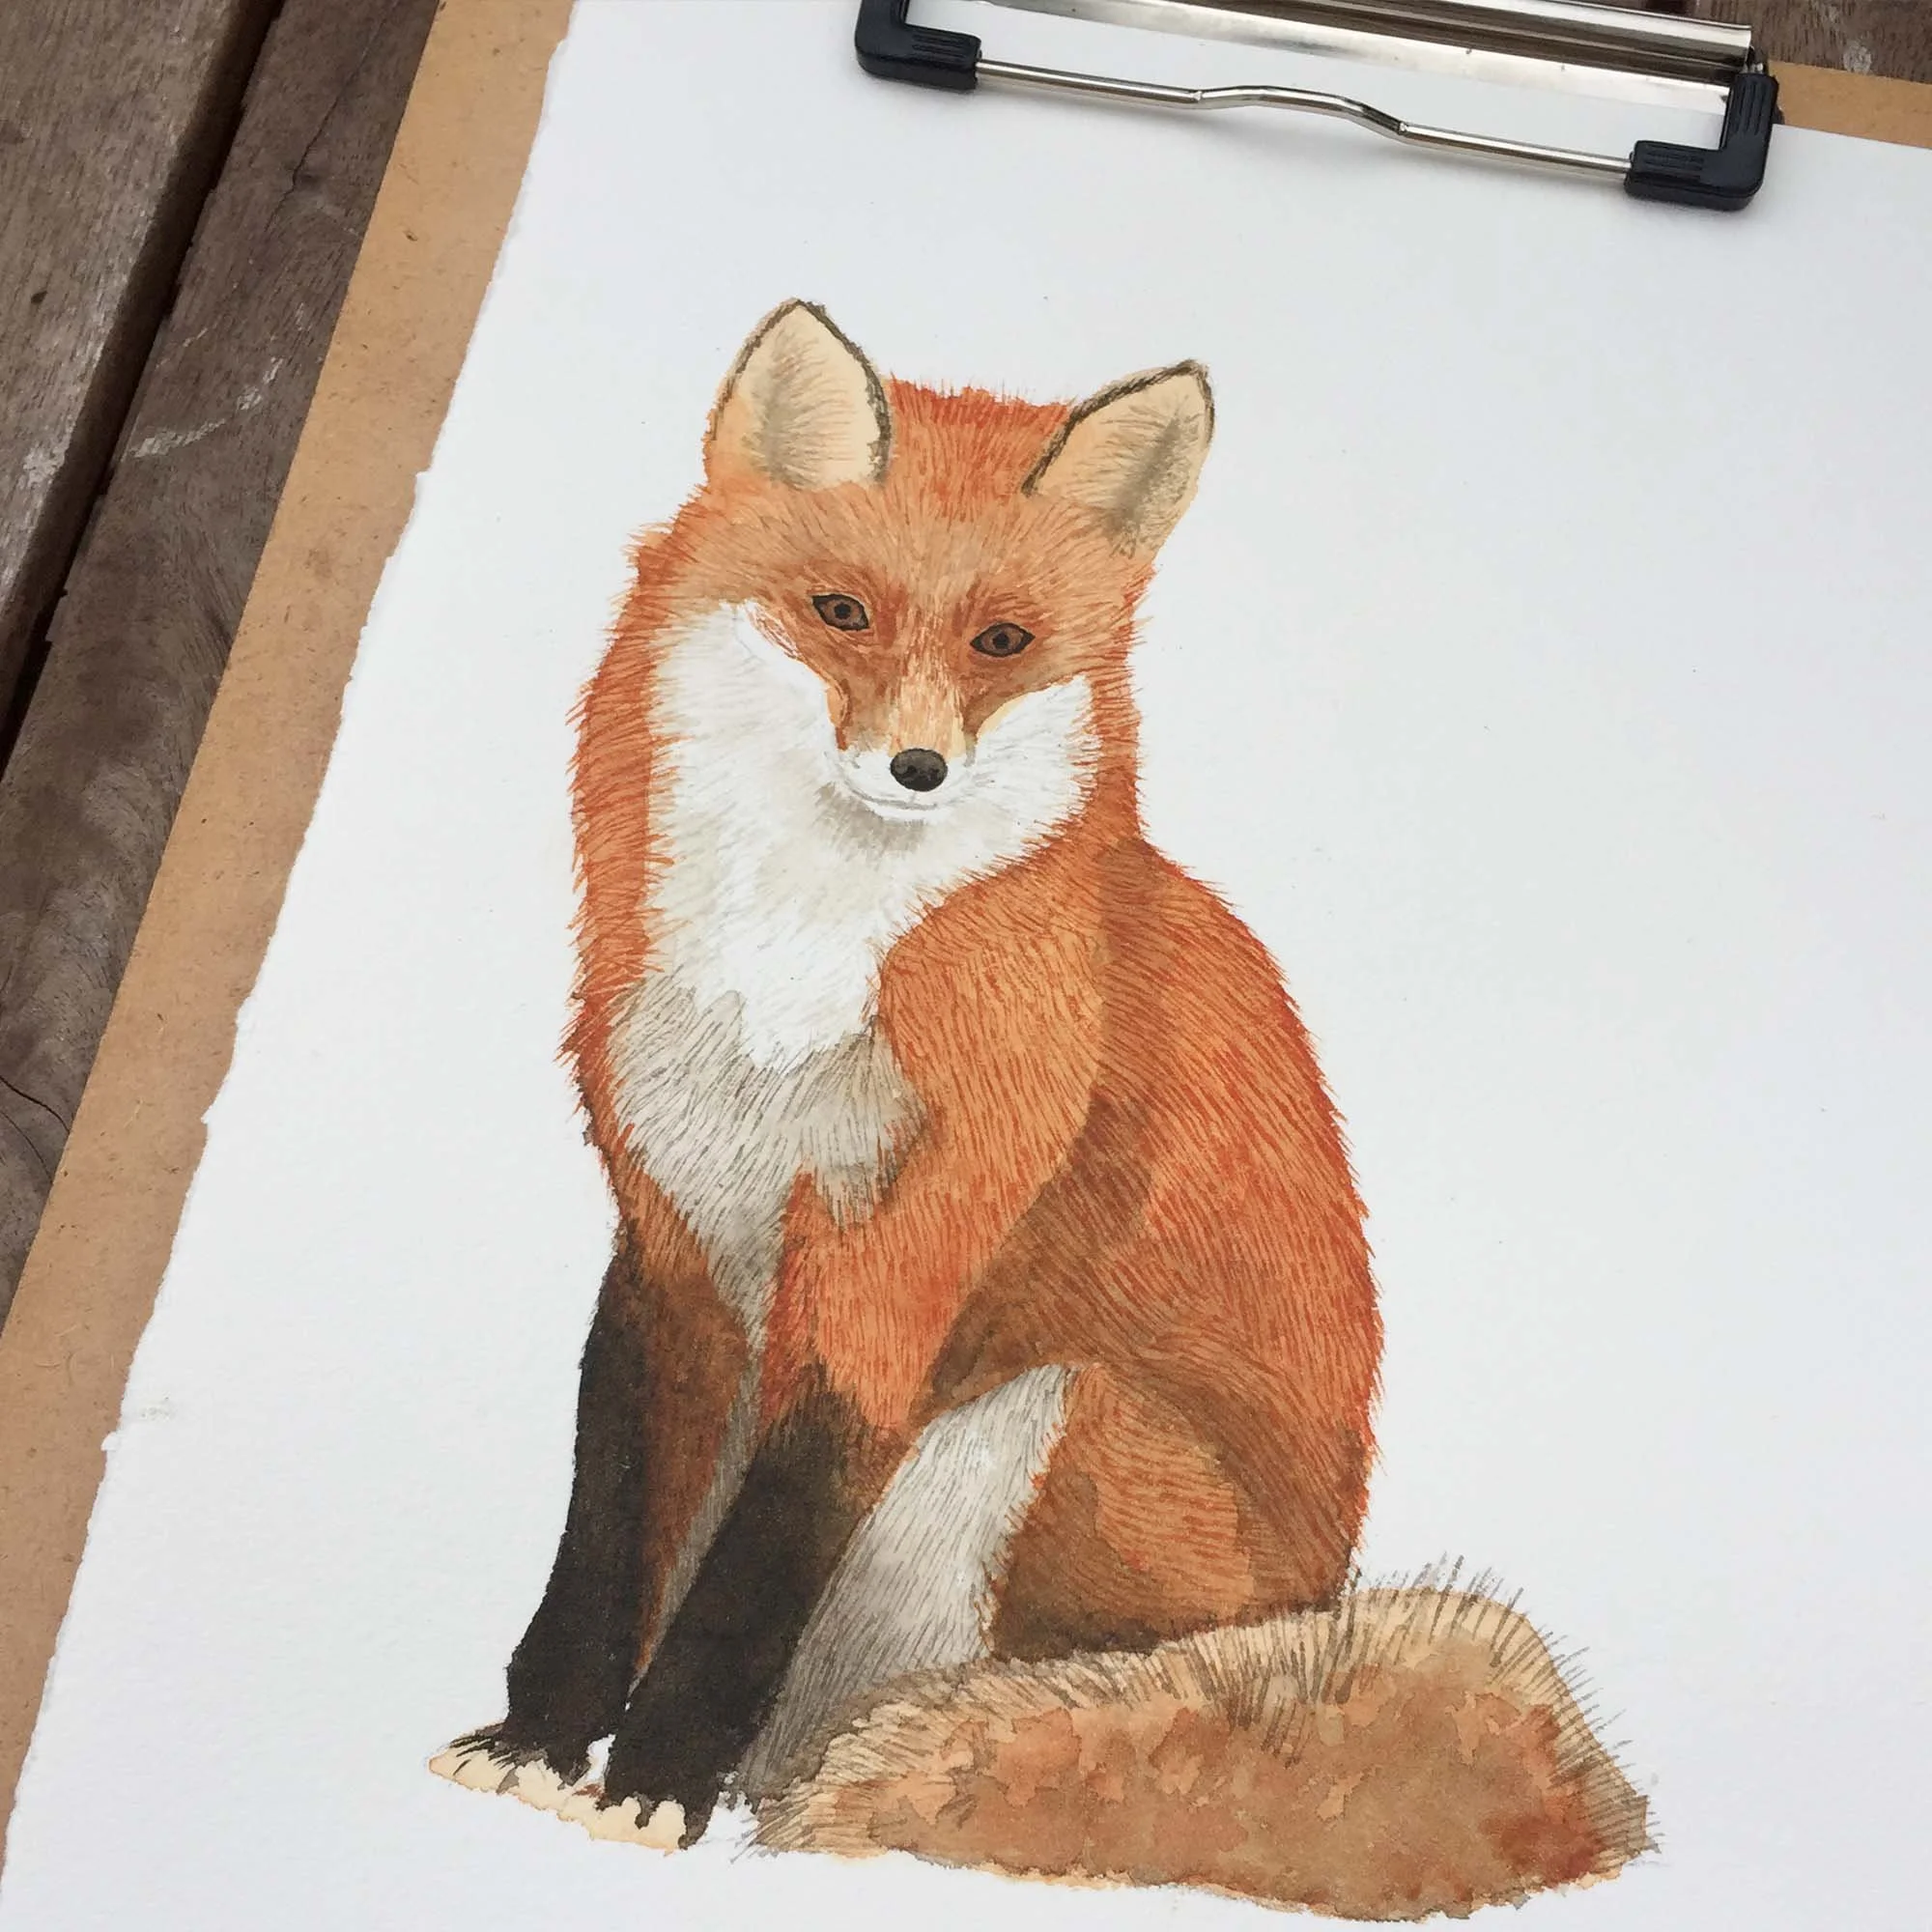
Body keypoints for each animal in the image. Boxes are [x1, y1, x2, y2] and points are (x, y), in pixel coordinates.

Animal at [432, 301, 1648, 1919]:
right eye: (840, 611)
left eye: (1001, 644)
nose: (917, 767)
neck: (791, 977)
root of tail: (1318, 1601)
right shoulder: (671, 1238)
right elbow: (607, 1531)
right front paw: (540, 1745)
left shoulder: (901, 1270)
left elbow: (752, 1575)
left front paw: (651, 1786)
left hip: (1050, 1417)